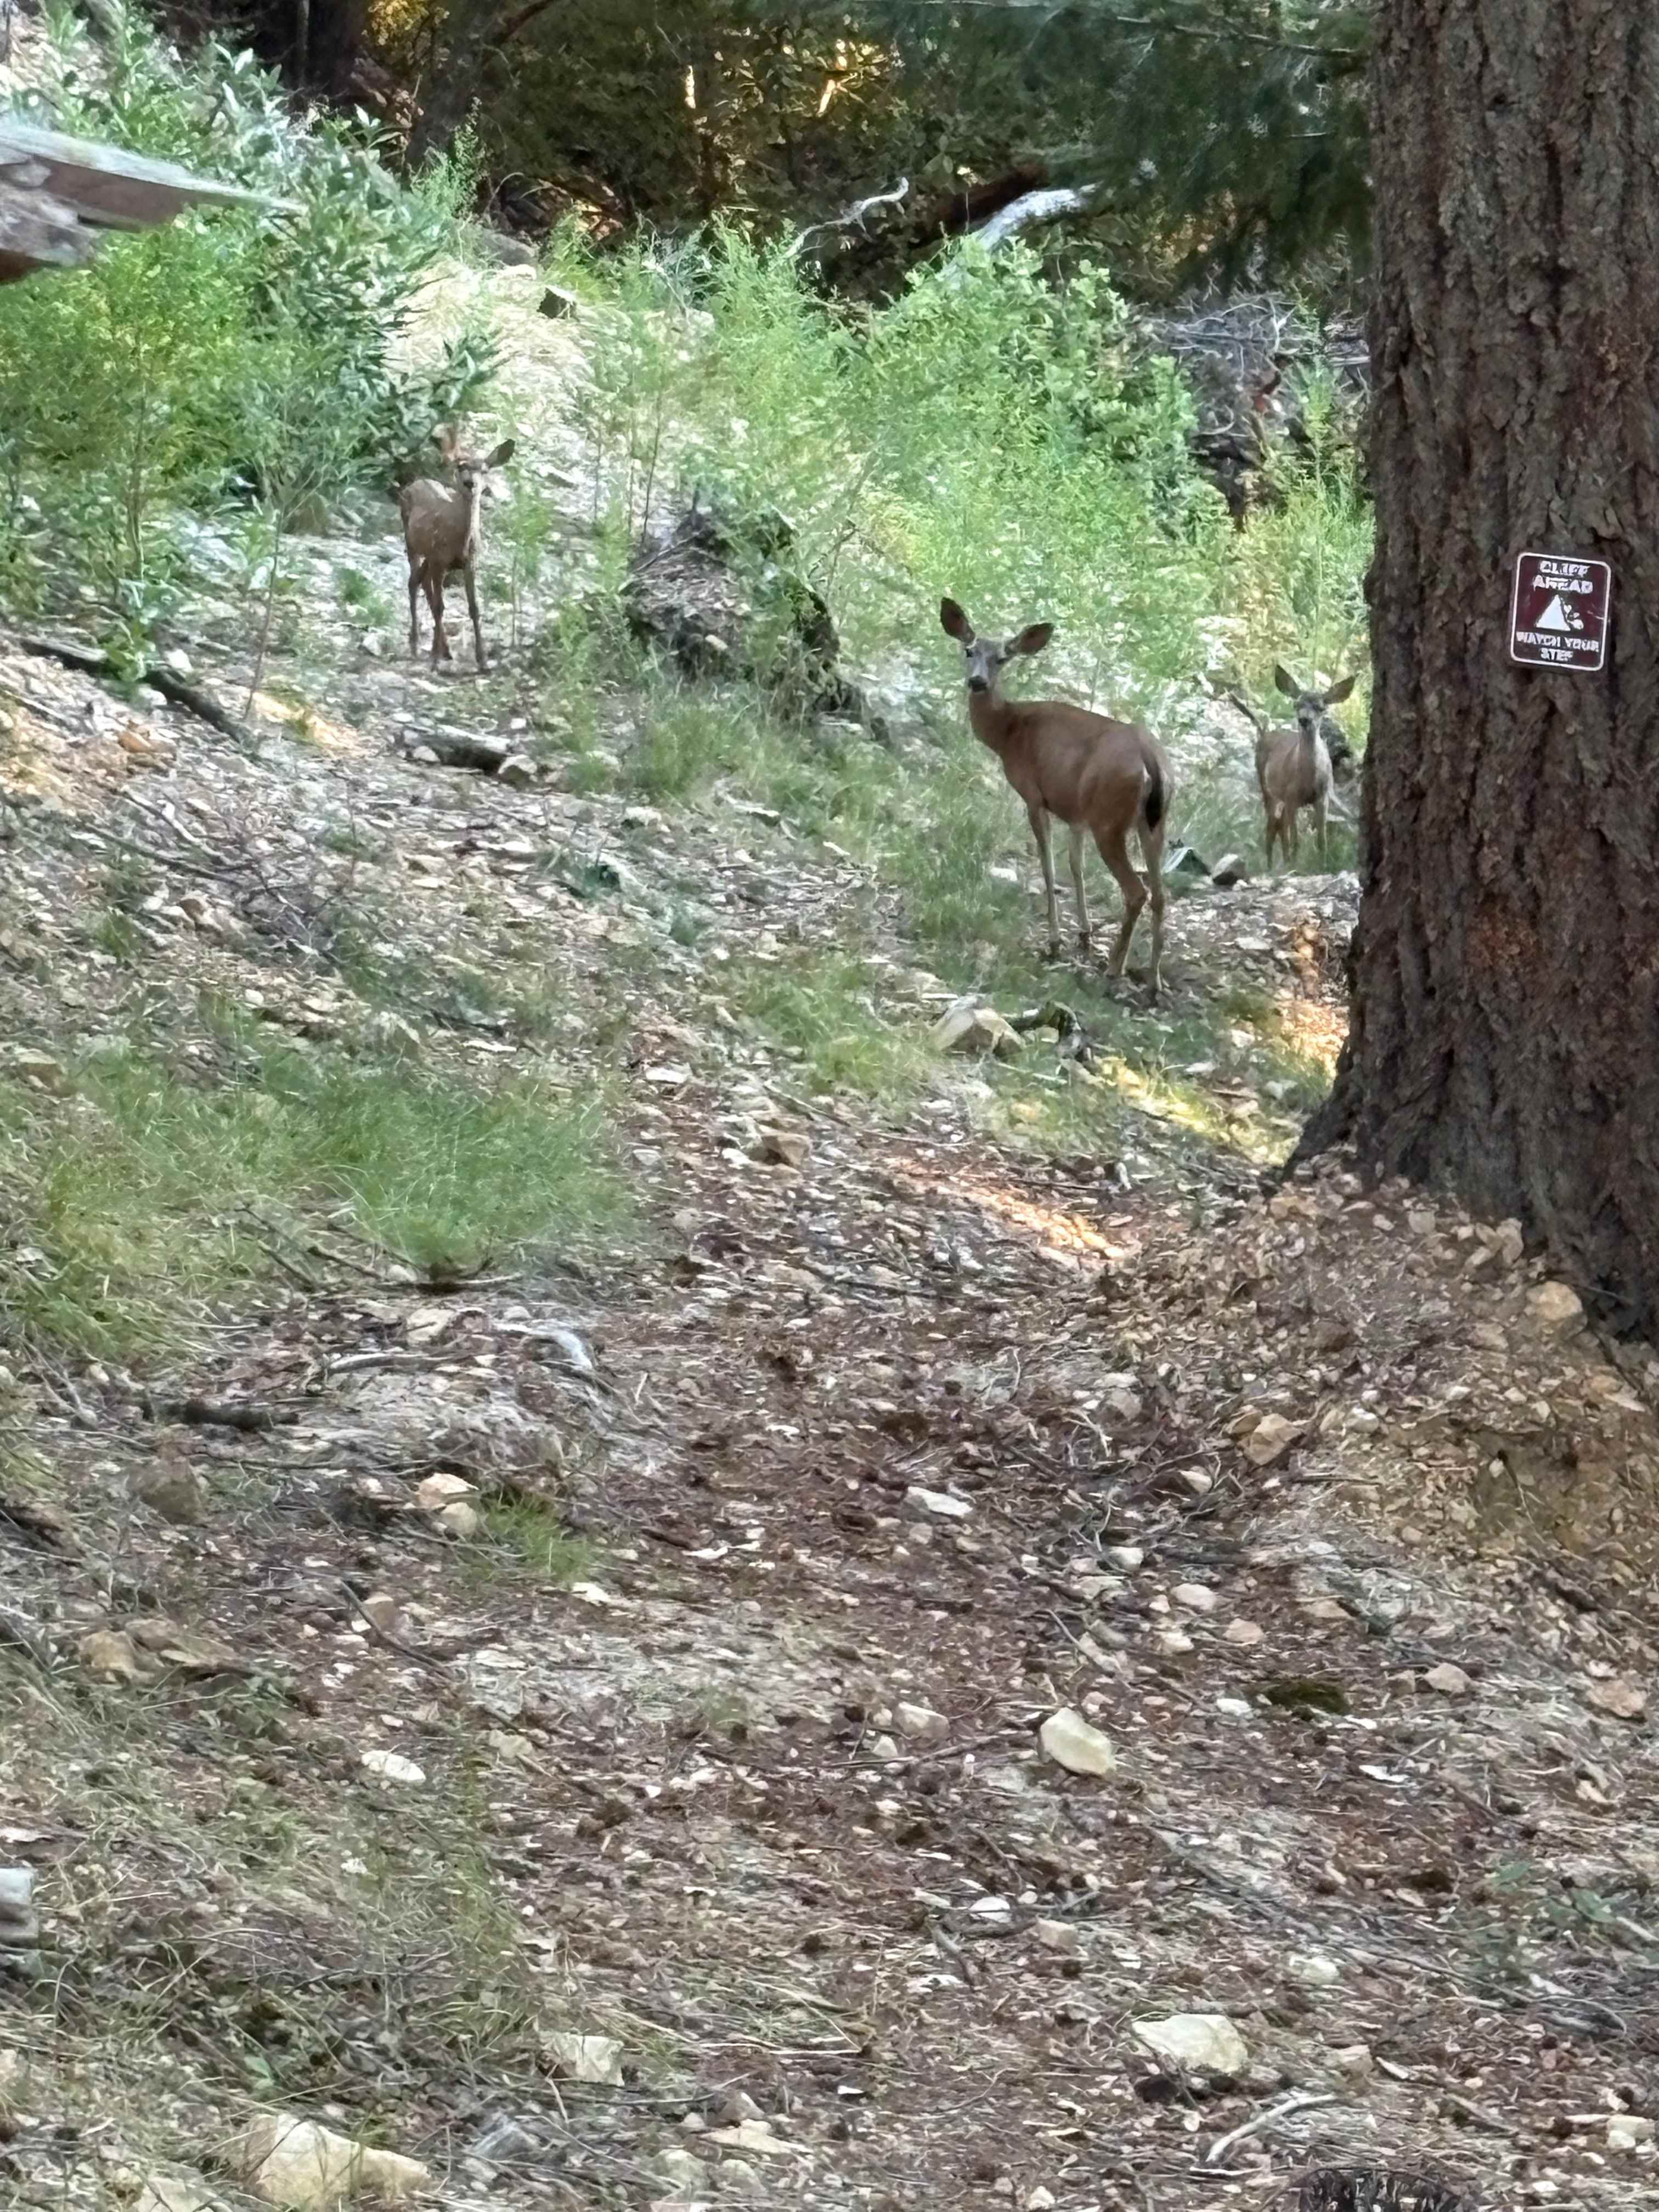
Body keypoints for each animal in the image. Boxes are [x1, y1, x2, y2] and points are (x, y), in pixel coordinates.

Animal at [396, 426, 516, 673]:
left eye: (484, 470)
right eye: (461, 466)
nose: (471, 484)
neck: (460, 541)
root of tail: (415, 482)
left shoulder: (470, 563)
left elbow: (474, 608)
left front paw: (483, 661)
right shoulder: (440, 560)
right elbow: (440, 607)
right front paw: (434, 661)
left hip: (429, 555)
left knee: (422, 582)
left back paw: (445, 650)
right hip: (412, 542)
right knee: (414, 583)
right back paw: (416, 645)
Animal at [940, 599, 1171, 1002]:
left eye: (1003, 658)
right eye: (970, 651)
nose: (977, 681)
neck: (1007, 732)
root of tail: (1150, 761)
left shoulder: (1034, 795)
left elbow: (1048, 865)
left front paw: (1055, 940)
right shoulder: (1076, 812)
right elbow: (1075, 865)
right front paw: (1084, 933)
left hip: (1110, 819)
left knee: (1136, 892)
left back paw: (1114, 969)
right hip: (1155, 821)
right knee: (1160, 894)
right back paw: (1155, 980)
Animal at [1238, 665, 1357, 869]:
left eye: (1321, 707)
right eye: (1296, 705)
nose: (1304, 720)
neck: (1308, 778)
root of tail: (1264, 733)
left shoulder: (1323, 797)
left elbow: (1322, 841)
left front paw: (1323, 866)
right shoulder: (1291, 796)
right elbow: (1296, 839)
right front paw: (1295, 866)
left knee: (1280, 826)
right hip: (1268, 788)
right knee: (1273, 827)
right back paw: (1273, 866)